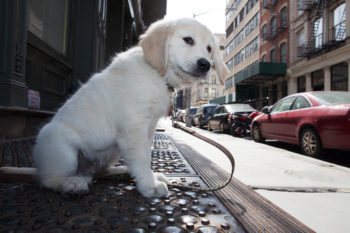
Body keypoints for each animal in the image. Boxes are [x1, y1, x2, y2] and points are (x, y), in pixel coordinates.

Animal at [33, 18, 230, 198]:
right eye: (188, 40)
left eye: (209, 49)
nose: (205, 64)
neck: (157, 73)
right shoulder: (134, 128)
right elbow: (141, 158)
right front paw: (149, 185)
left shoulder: (148, 128)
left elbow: (145, 157)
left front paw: (150, 177)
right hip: (60, 147)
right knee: (48, 180)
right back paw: (70, 183)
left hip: (112, 152)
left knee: (99, 172)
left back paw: (120, 171)